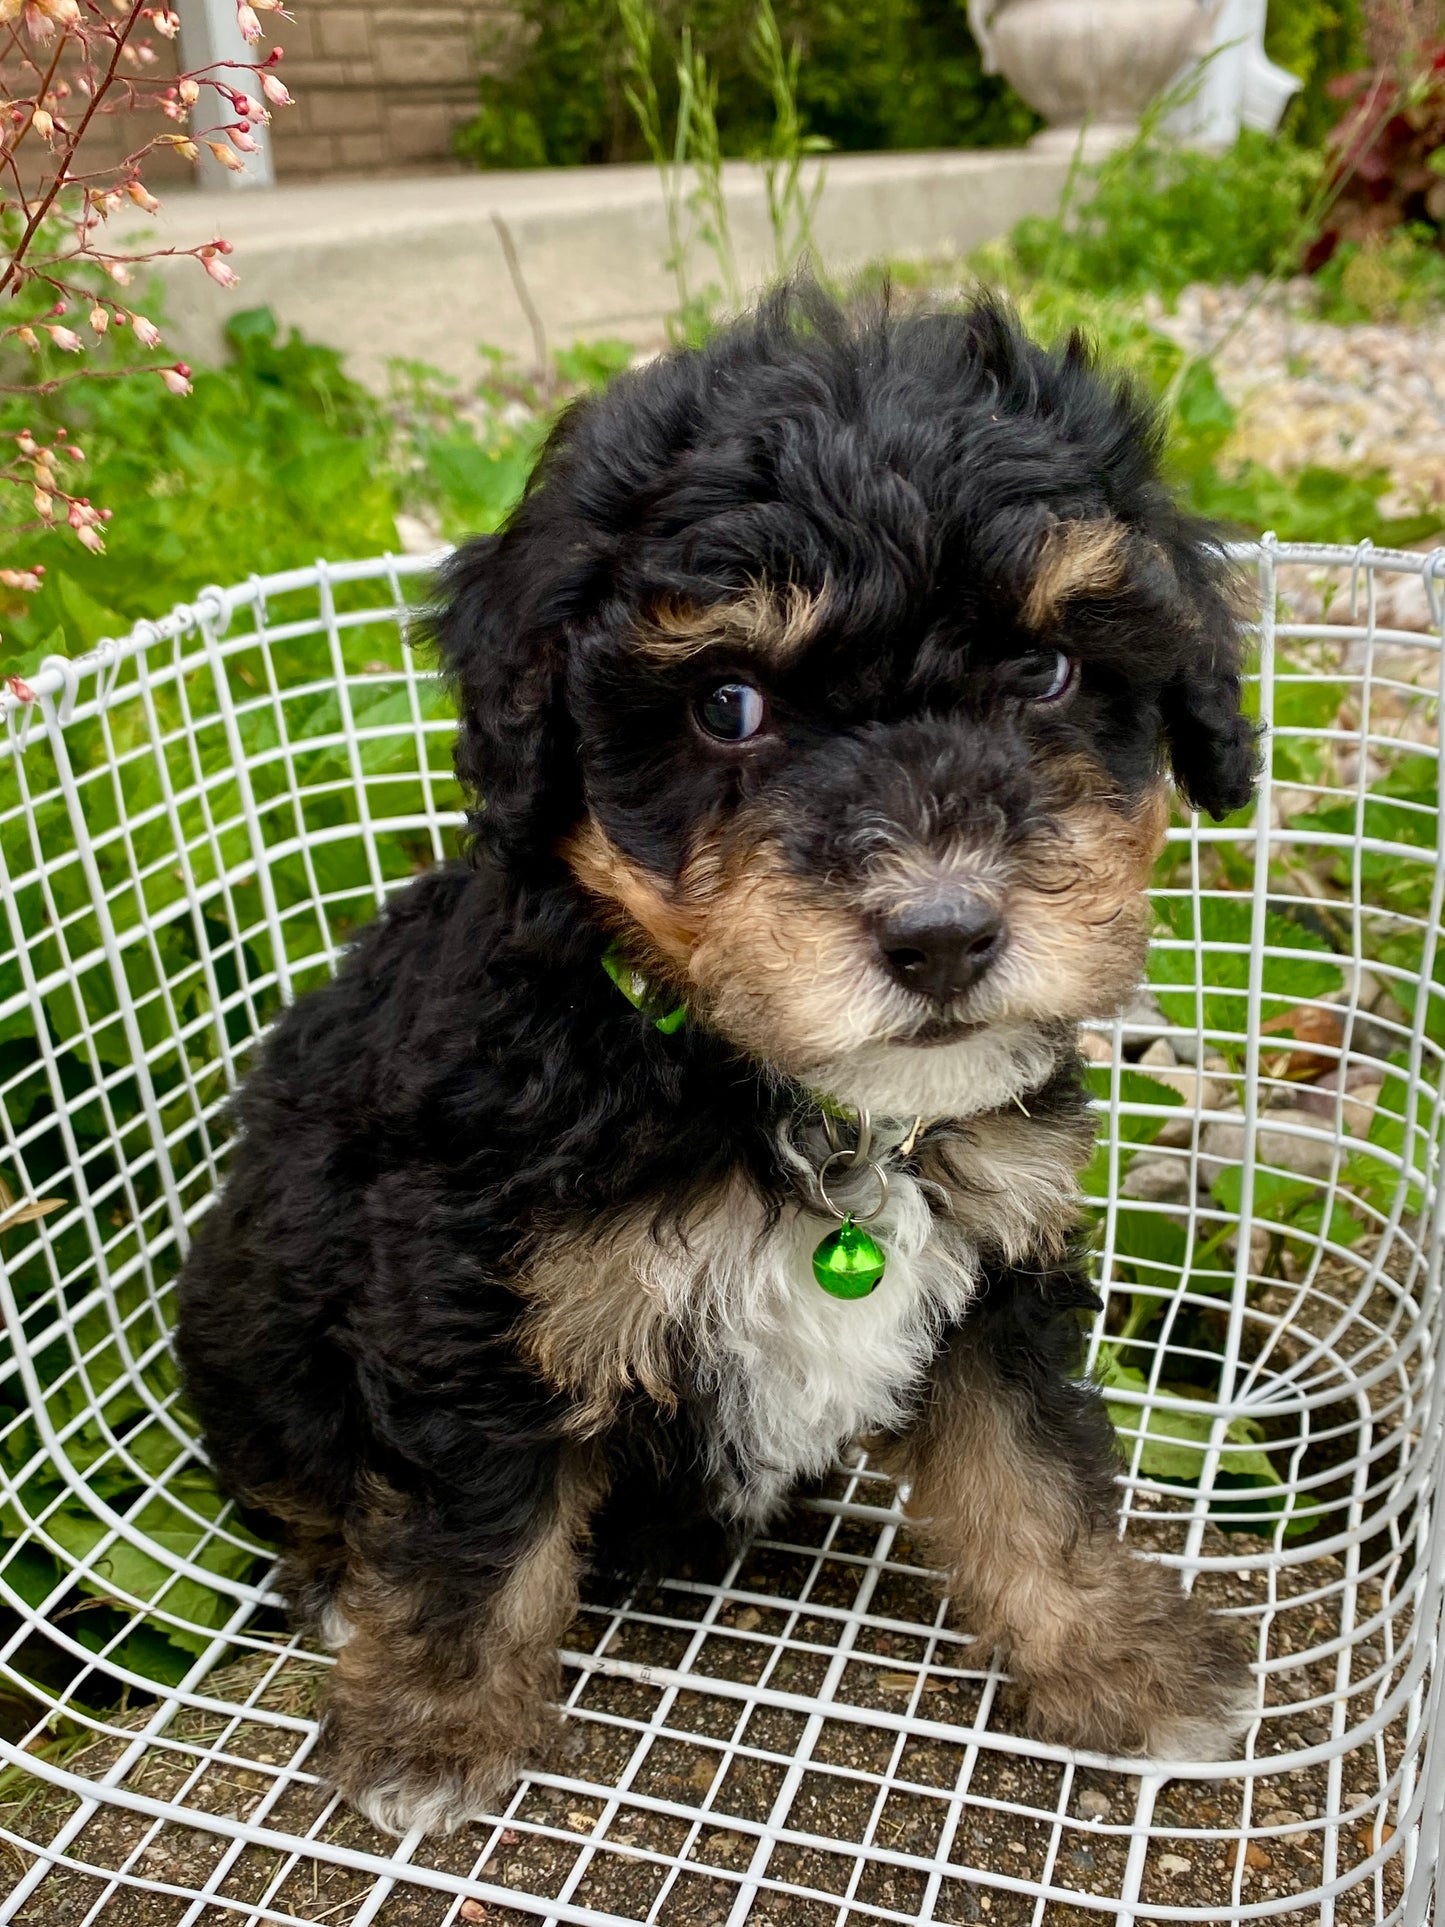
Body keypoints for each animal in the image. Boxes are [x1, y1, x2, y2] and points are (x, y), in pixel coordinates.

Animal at [175, 285, 1263, 1834]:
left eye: (1048, 670)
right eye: (727, 703)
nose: (943, 933)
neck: (784, 1094)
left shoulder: (1001, 1252)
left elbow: (1031, 1468)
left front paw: (1117, 1653)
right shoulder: (470, 1291)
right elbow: (469, 1523)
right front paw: (432, 1726)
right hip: (253, 1309)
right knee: (301, 1468)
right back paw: (335, 1579)